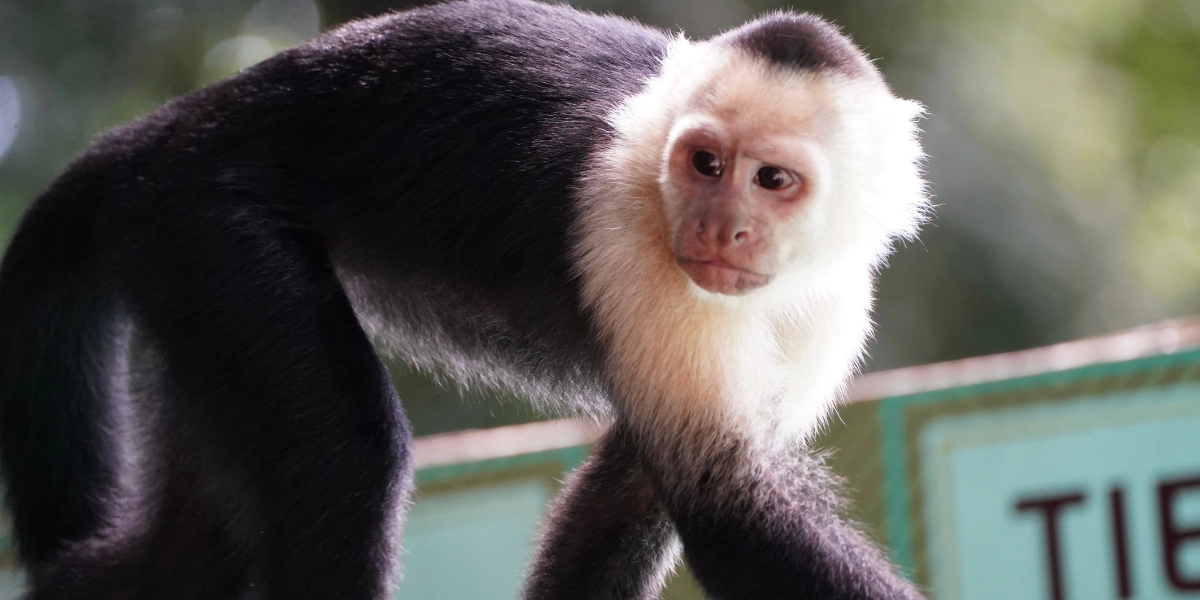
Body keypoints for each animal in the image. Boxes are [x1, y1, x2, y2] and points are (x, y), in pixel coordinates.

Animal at [0, 0, 929, 598]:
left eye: (772, 181)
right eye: (705, 164)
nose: (716, 229)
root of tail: (173, 128)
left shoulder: (835, 309)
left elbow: (628, 499)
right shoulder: (639, 246)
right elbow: (723, 508)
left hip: (185, 277)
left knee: (194, 553)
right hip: (208, 231)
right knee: (346, 456)